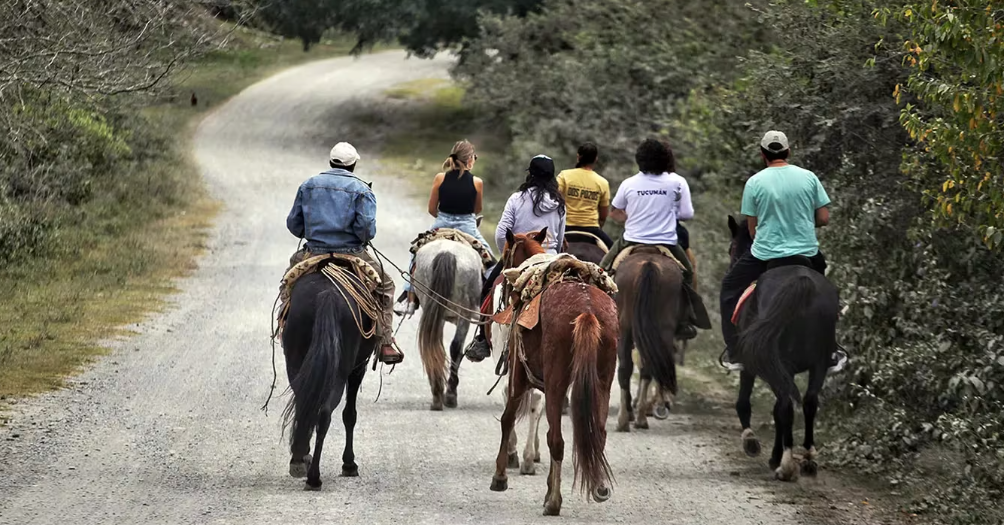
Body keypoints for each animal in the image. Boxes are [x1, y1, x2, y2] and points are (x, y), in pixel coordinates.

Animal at [281, 271, 375, 490]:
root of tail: (327, 294)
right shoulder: (358, 368)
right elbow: (350, 415)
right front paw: (349, 464)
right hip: (340, 373)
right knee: (324, 413)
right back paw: (314, 476)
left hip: (296, 363)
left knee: (306, 405)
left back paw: (300, 462)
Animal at [412, 238, 483, 411]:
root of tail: (447, 252)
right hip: (464, 313)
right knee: (455, 347)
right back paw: (449, 395)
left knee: (434, 343)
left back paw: (437, 395)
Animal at [490, 228, 617, 516]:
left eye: (505, 254)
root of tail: (587, 311)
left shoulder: (519, 376)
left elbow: (507, 418)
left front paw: (500, 476)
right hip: (603, 381)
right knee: (599, 434)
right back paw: (599, 488)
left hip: (557, 382)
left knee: (556, 440)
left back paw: (553, 501)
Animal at [613, 247, 686, 432]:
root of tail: (649, 263)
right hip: (663, 328)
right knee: (649, 366)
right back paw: (640, 416)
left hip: (625, 327)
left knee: (627, 368)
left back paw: (627, 419)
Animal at [727, 215, 839, 481]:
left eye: (731, 248)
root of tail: (801, 282)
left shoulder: (752, 365)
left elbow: (746, 402)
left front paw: (754, 443)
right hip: (818, 362)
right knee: (809, 402)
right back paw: (807, 458)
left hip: (778, 363)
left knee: (786, 406)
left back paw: (786, 465)